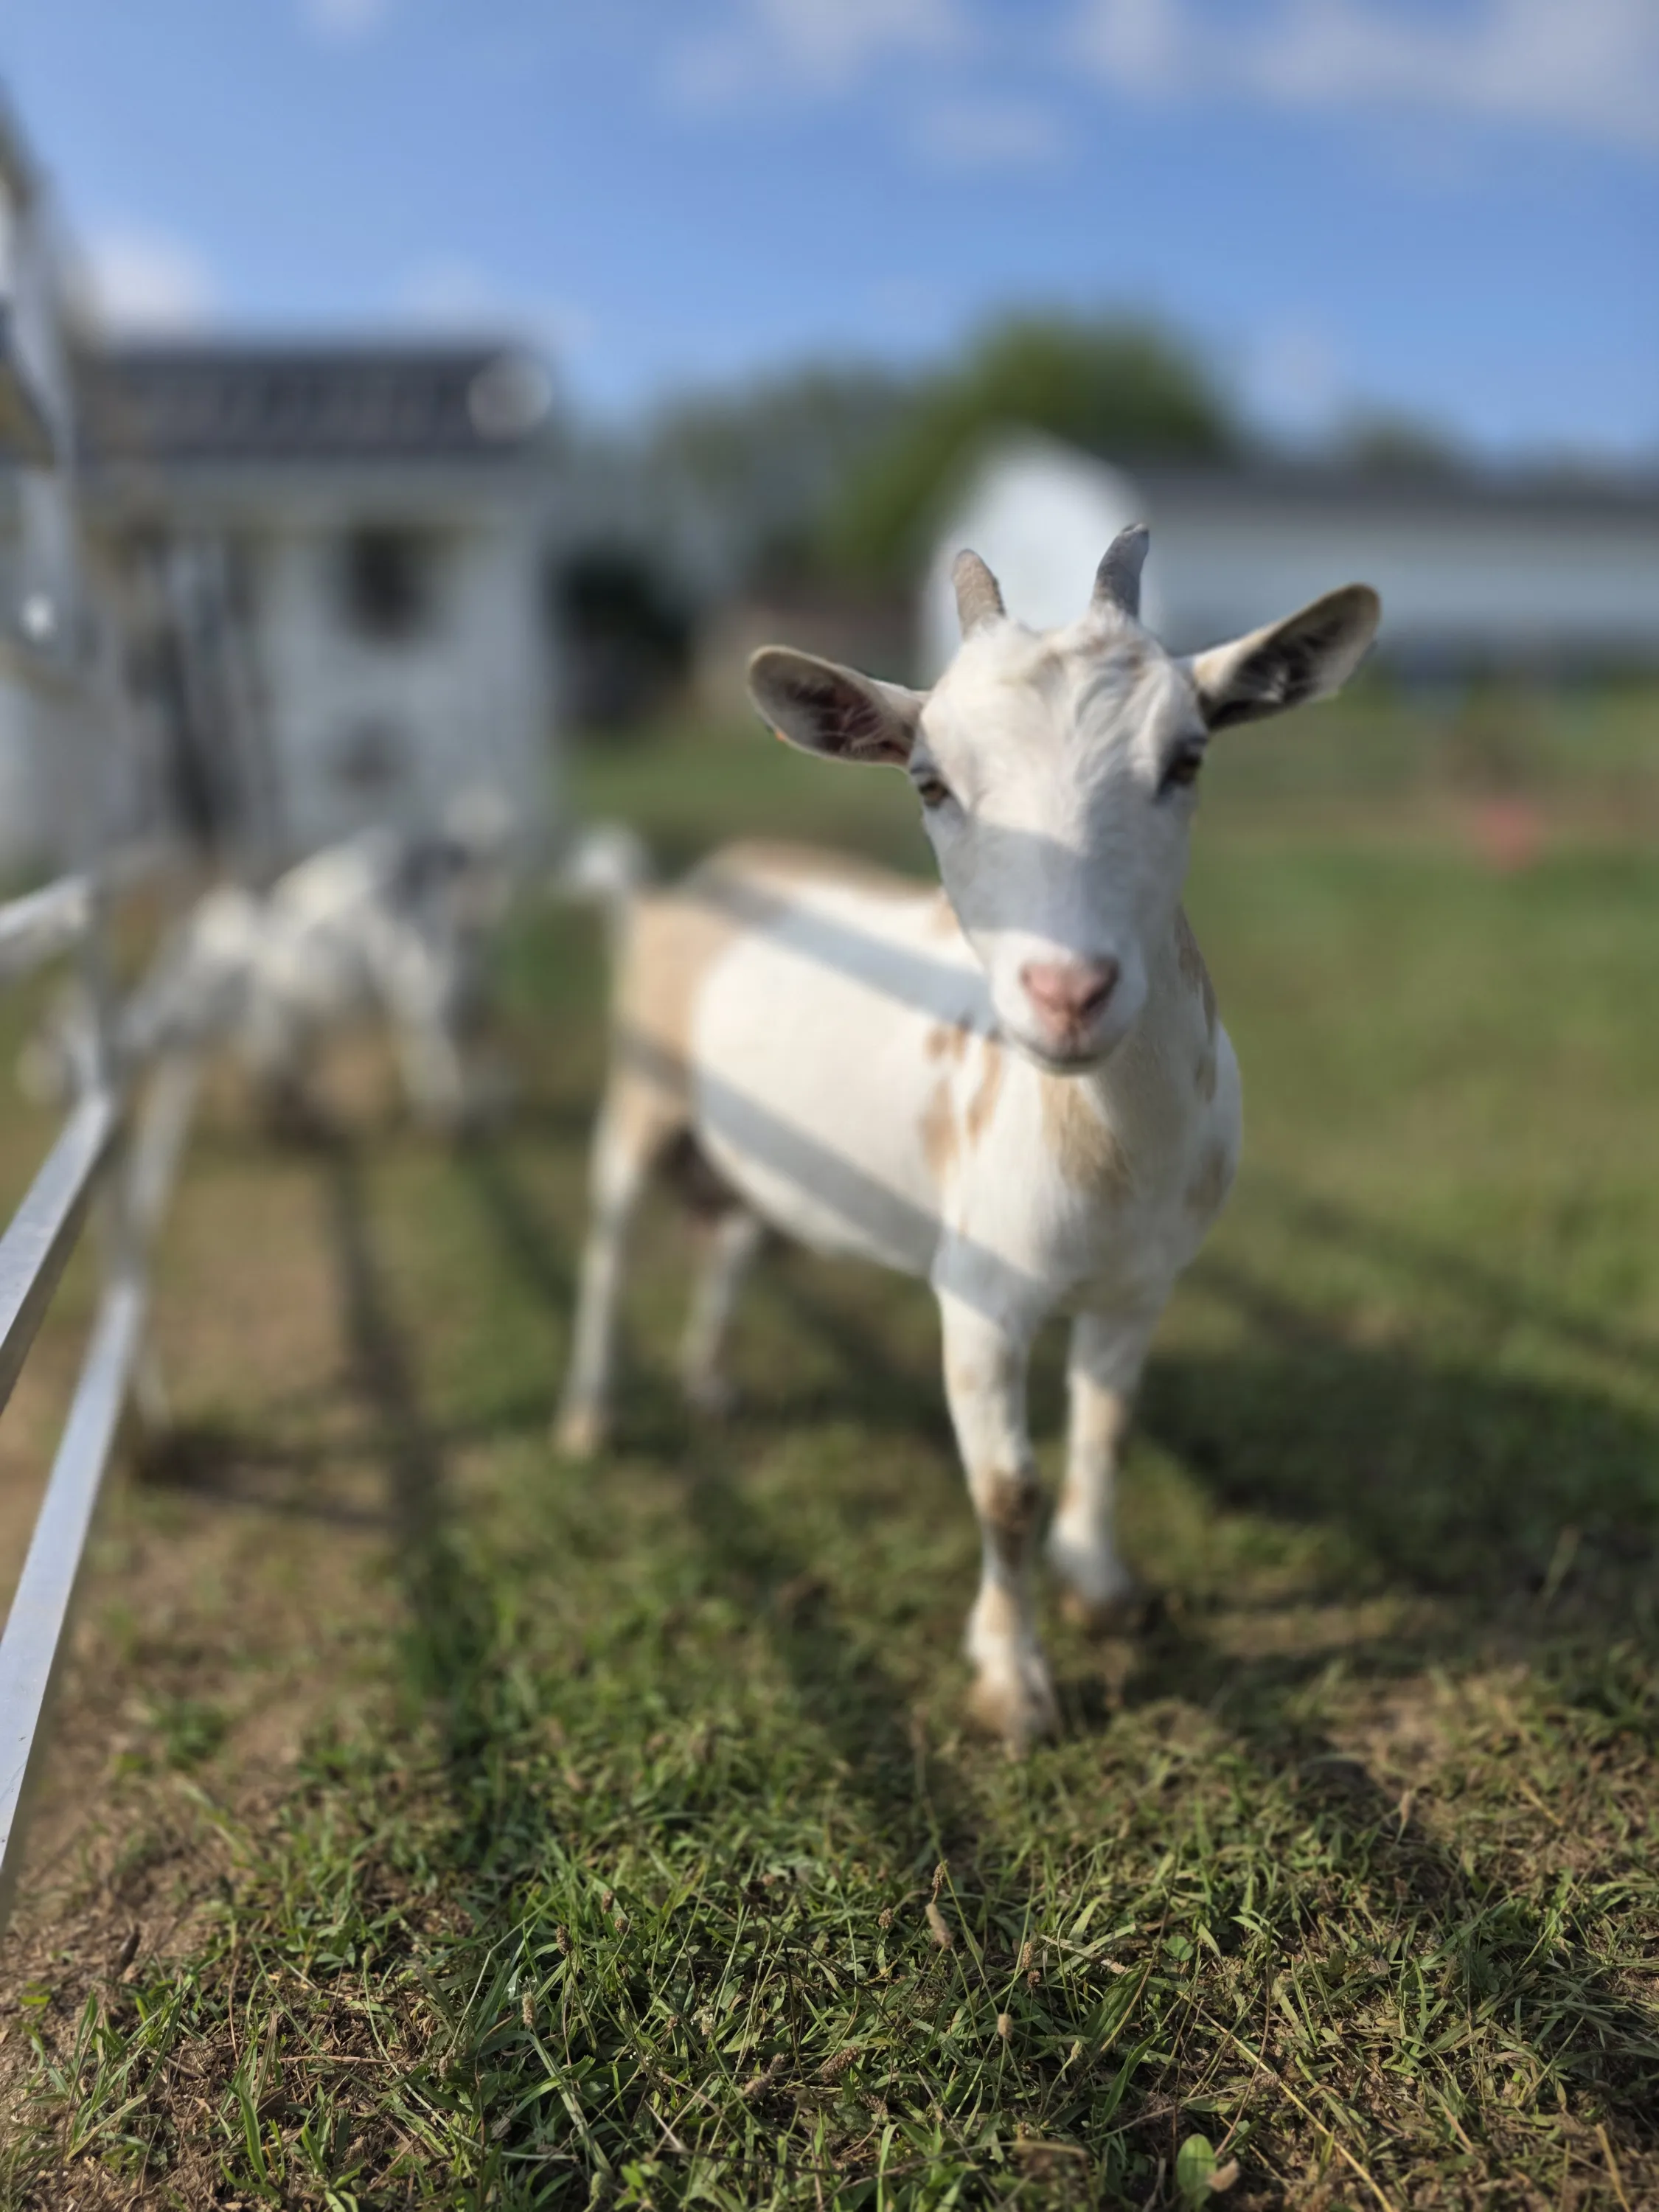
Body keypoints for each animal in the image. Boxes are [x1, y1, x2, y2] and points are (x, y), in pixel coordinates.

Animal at [555, 532, 1379, 1750]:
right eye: (929, 781)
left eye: (1186, 759)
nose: (1067, 993)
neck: (1107, 1155)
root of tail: (677, 889)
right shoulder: (981, 1293)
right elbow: (1006, 1490)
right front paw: (1012, 1683)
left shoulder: (1141, 1285)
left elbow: (1107, 1427)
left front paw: (1103, 1586)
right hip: (640, 1092)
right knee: (608, 1246)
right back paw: (589, 1419)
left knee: (736, 1239)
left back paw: (709, 1383)